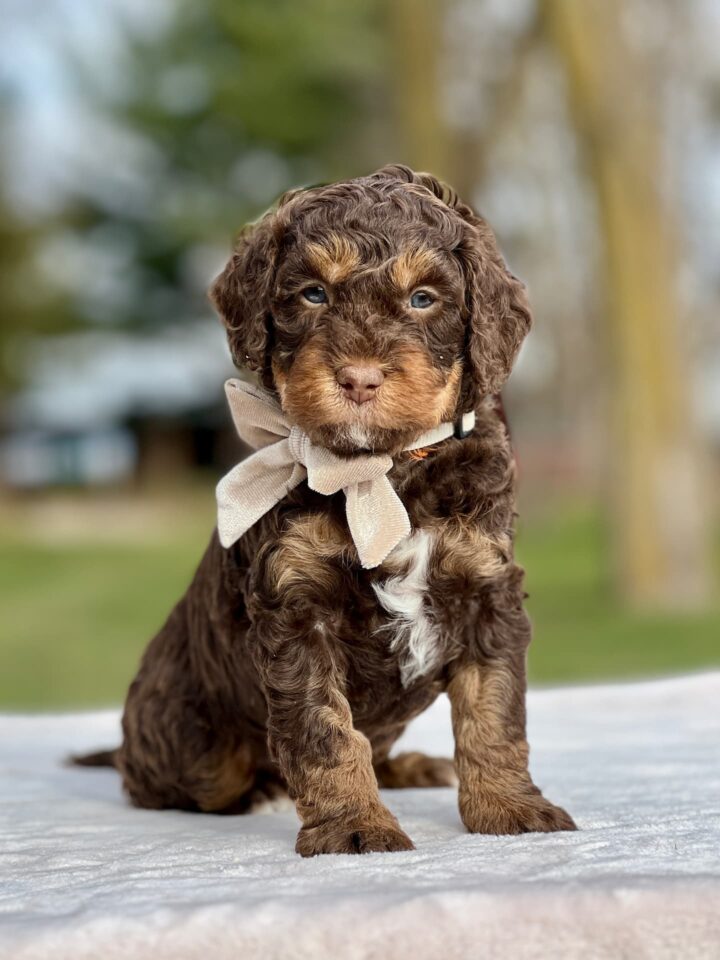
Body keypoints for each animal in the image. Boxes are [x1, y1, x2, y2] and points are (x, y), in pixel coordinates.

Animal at [76, 163, 576, 856]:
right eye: (313, 293)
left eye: (424, 299)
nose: (359, 378)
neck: (380, 472)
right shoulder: (295, 603)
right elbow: (324, 729)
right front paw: (354, 826)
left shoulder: (486, 587)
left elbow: (494, 710)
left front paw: (510, 807)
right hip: (189, 740)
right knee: (169, 779)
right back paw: (260, 789)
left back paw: (408, 766)